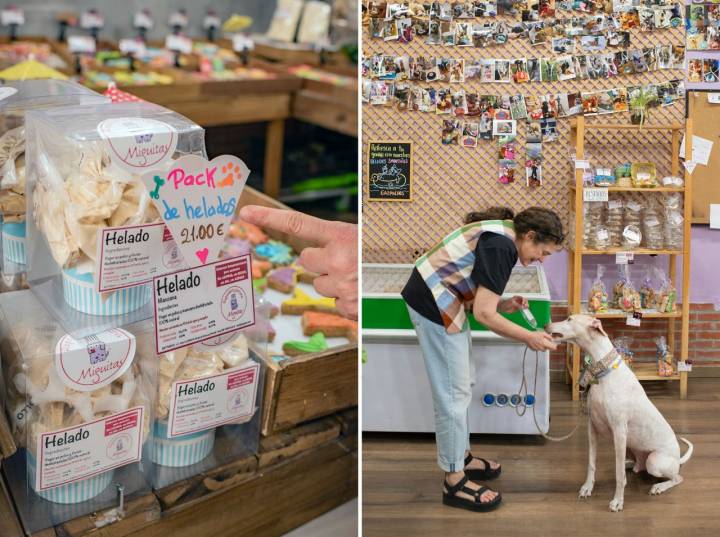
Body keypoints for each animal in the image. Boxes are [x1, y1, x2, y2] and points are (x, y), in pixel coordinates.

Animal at [544, 314, 692, 510]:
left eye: (569, 319)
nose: (546, 326)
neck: (603, 373)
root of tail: (677, 459)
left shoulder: (619, 432)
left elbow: (618, 475)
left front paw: (617, 501)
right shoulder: (592, 427)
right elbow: (592, 463)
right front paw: (587, 488)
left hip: (654, 460)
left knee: (677, 477)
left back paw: (659, 486)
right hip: (631, 447)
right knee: (636, 466)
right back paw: (632, 465)